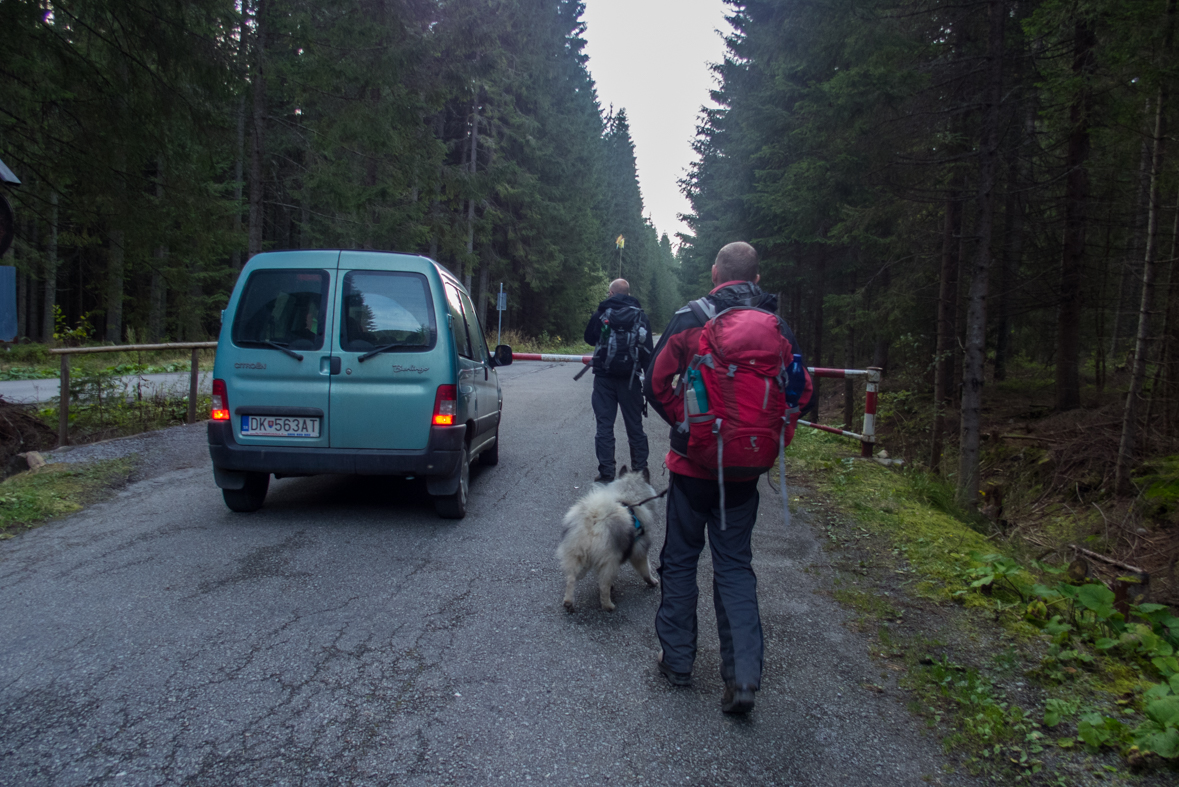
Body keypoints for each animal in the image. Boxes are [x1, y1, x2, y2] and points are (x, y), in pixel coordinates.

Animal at [556, 464, 660, 612]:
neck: (629, 498)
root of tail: (594, 520)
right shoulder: (639, 551)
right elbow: (646, 569)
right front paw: (652, 581)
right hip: (610, 560)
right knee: (603, 586)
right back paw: (608, 606)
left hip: (577, 555)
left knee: (571, 578)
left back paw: (568, 602)